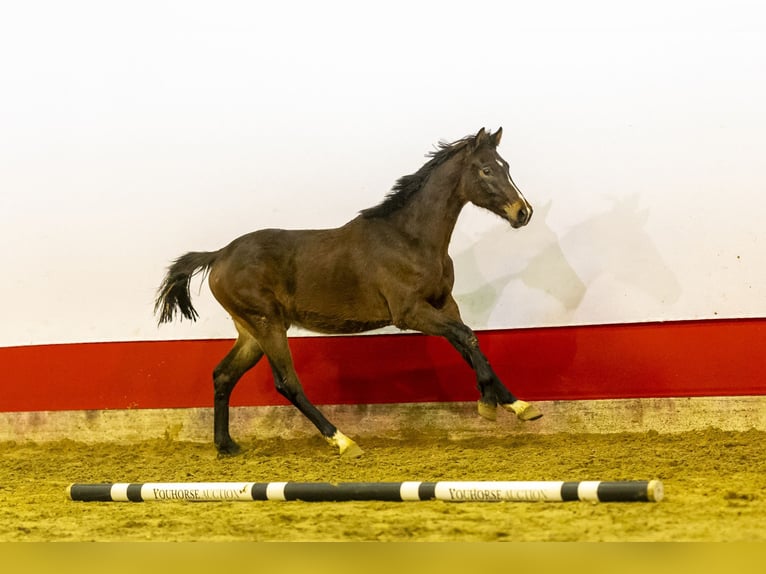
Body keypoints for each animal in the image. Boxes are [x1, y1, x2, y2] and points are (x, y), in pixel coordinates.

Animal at [154, 127, 540, 460]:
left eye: (506, 166)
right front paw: (489, 405)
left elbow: (468, 344)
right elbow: (468, 338)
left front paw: (519, 406)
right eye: (486, 169)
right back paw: (343, 441)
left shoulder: (444, 304)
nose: (523, 211)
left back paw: (227, 446)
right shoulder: (410, 313)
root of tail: (218, 255)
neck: (410, 239)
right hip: (267, 324)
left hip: (250, 331)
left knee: (223, 375)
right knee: (287, 383)